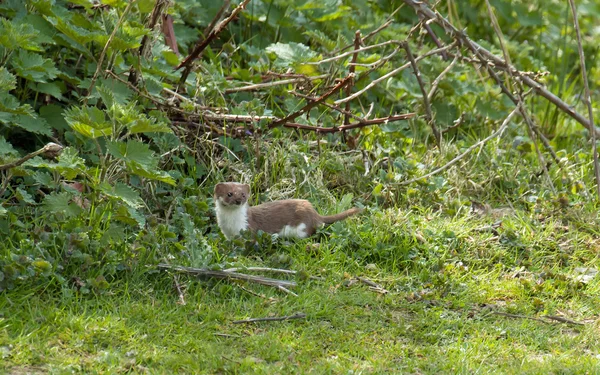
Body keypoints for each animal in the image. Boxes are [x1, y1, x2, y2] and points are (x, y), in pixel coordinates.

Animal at [214, 183, 360, 241]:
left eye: (243, 194)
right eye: (229, 193)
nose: (238, 200)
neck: (230, 224)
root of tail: (314, 213)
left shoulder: (249, 230)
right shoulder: (228, 234)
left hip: (300, 228)